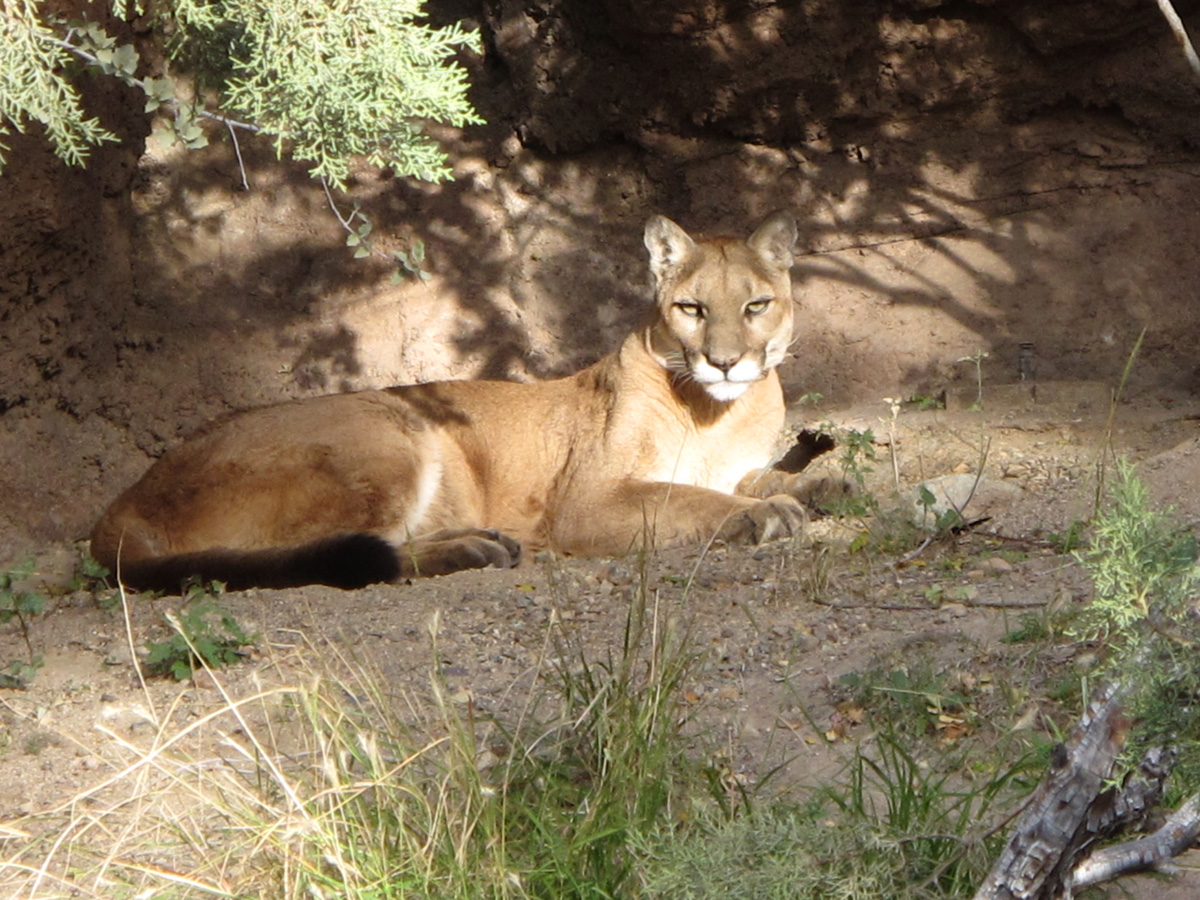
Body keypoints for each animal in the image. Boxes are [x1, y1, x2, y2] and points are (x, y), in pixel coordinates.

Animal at [90, 211, 833, 591]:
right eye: (692, 309)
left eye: (756, 306)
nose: (726, 361)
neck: (717, 411)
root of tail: (130, 495)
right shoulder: (590, 502)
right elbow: (686, 497)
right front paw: (763, 514)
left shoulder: (734, 459)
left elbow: (755, 474)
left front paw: (821, 480)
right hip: (388, 433)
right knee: (359, 552)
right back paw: (474, 550)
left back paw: (484, 541)